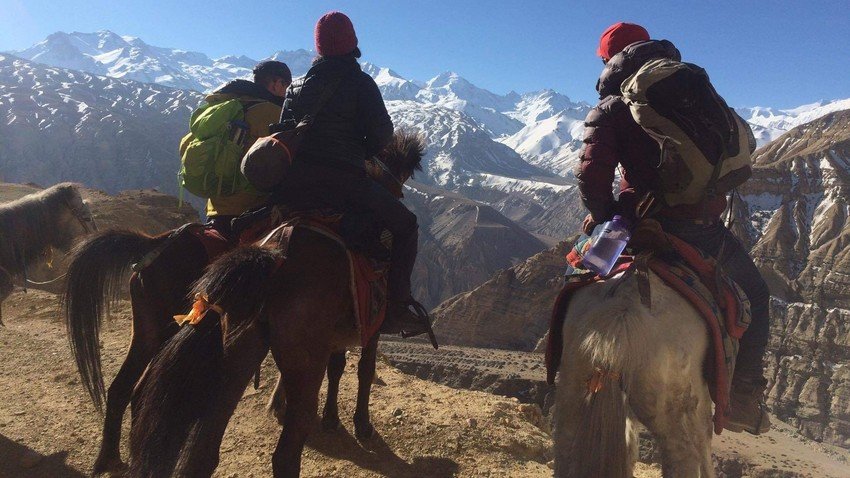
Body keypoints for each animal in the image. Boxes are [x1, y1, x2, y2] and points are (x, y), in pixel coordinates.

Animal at [61, 130, 424, 474]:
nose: (400, 195)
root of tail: (153, 243)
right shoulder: (370, 326)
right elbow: (363, 370)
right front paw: (360, 425)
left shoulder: (341, 332)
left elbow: (338, 369)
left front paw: (331, 418)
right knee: (283, 453)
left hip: (173, 338)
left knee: (137, 399)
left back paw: (113, 458)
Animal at [548, 268, 716, 478]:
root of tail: (624, 306)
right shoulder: (701, 395)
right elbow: (704, 438)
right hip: (669, 404)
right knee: (684, 455)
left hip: (572, 383)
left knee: (565, 442)